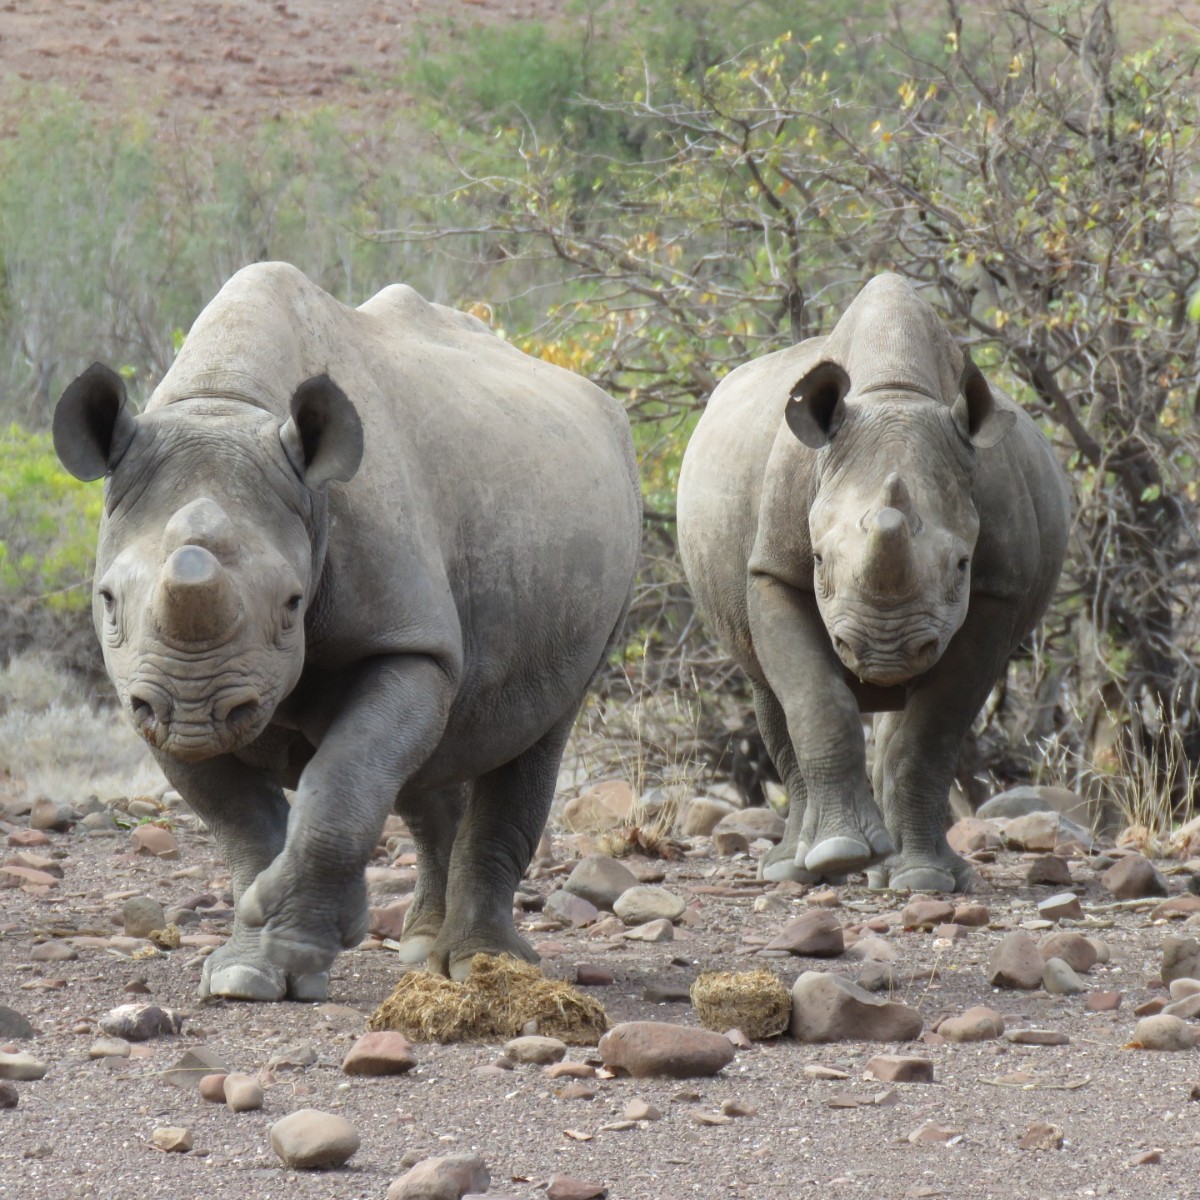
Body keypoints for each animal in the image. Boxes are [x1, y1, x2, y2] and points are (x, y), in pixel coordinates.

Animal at [53, 262, 642, 1000]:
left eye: (291, 604)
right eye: (107, 601)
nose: (196, 709)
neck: (225, 404)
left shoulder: (410, 643)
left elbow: (343, 780)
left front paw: (295, 947)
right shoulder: (139, 682)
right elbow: (242, 821)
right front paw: (248, 971)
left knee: (536, 733)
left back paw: (482, 967)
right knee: (434, 761)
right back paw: (422, 947)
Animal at [677, 274, 1070, 891]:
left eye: (962, 565)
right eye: (817, 560)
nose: (884, 654)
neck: (896, 392)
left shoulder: (995, 593)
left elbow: (930, 736)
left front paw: (924, 880)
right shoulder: (773, 570)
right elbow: (817, 700)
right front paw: (838, 853)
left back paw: (905, 875)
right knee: (768, 691)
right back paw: (795, 867)